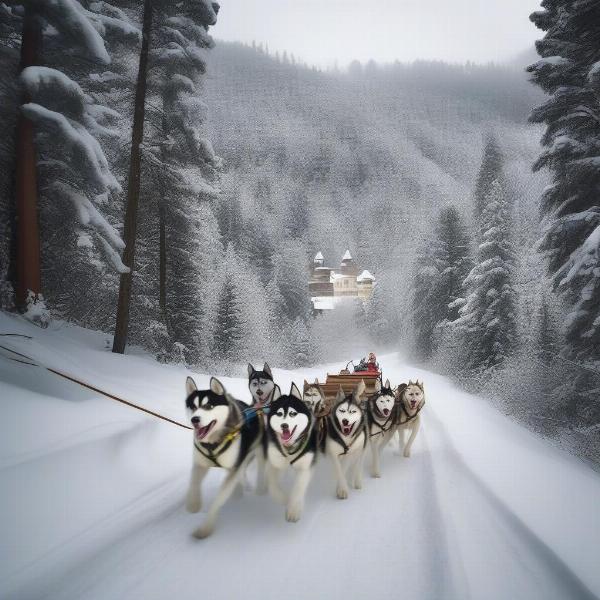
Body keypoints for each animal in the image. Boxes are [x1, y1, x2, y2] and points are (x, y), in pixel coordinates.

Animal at [184, 376, 264, 540]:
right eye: (193, 407)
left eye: (208, 406)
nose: (195, 420)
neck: (213, 442)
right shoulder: (200, 464)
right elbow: (194, 482)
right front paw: (193, 504)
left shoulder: (233, 467)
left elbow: (218, 500)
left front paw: (205, 528)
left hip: (255, 452)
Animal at [264, 384, 316, 520]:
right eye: (279, 413)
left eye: (293, 413)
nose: (284, 426)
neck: (289, 449)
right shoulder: (274, 463)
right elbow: (272, 485)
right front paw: (284, 499)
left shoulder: (305, 467)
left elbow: (299, 487)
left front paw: (294, 508)